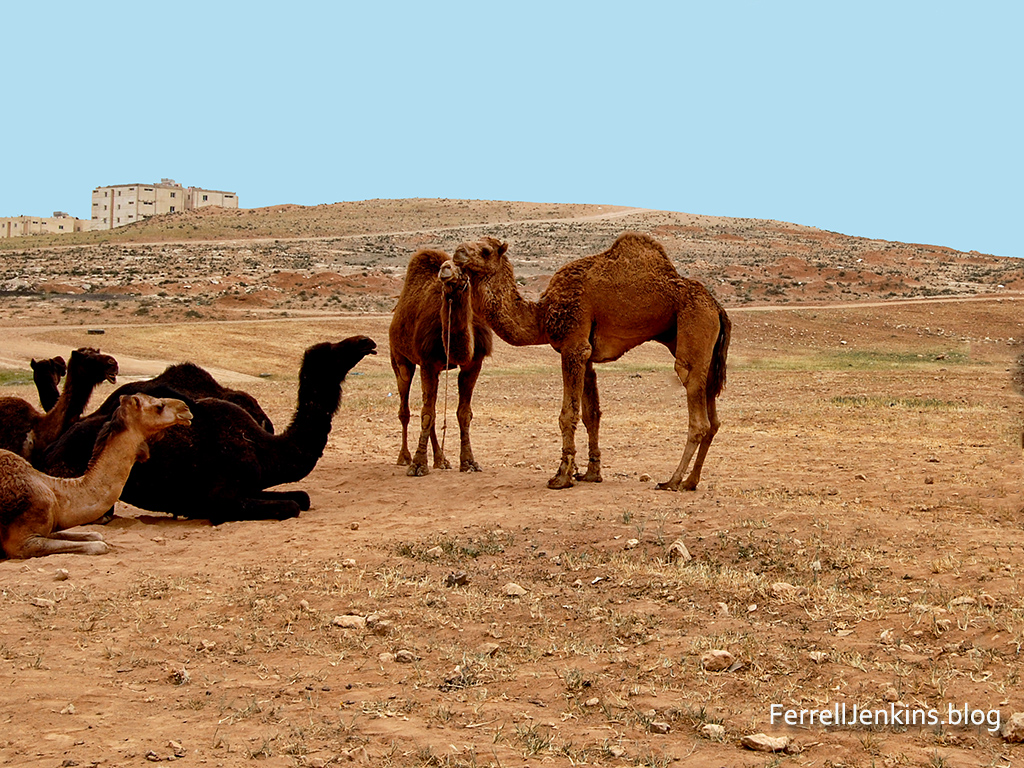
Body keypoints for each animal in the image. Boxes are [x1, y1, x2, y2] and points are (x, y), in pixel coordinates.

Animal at [0, 394, 192, 559]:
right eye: (159, 406)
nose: (186, 408)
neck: (57, 495)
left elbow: (95, 535)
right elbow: (99, 545)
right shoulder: (23, 542)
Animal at [41, 336, 377, 524]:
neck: (267, 450)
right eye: (331, 351)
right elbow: (292, 505)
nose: (366, 341)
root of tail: (49, 451)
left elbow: (303, 497)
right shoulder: (223, 496)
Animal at [390, 250, 492, 475]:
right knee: (405, 409)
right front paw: (418, 465)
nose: (445, 269)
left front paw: (469, 462)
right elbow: (427, 414)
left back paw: (441, 459)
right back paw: (404, 457)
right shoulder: (427, 361)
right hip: (400, 358)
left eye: (462, 266)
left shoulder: (473, 363)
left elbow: (464, 413)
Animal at [453, 232, 731, 491]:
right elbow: (591, 414)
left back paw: (672, 481)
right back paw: (691, 481)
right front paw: (591, 473)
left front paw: (562, 476)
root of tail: (717, 307)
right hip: (703, 350)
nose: (457, 253)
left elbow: (568, 414)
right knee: (713, 419)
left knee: (698, 417)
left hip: (694, 326)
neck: (542, 314)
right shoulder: (586, 356)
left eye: (486, 251)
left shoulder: (573, 345)